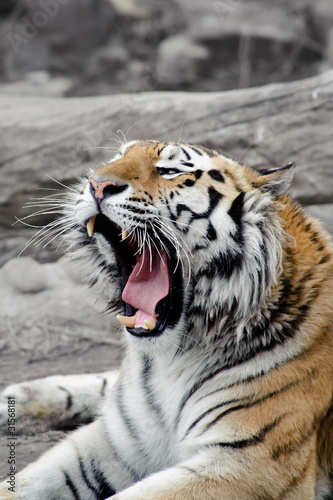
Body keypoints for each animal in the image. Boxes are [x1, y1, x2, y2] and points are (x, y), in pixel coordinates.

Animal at [0, 138, 332, 500]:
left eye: (169, 171)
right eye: (117, 158)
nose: (97, 184)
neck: (173, 359)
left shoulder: (250, 462)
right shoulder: (115, 440)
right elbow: (25, 481)